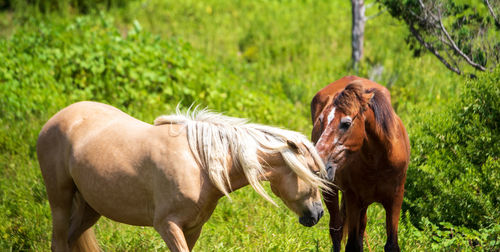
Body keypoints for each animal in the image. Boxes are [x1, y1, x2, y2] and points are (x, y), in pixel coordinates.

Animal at [37, 101, 330, 251]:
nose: (318, 214)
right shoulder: (167, 225)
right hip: (60, 201)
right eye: (314, 173)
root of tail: (56, 118)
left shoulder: (192, 228)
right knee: (59, 242)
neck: (200, 165)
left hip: (90, 208)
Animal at [312, 77, 410, 252]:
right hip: (331, 190)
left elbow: (391, 244)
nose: (317, 162)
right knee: (336, 230)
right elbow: (351, 244)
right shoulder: (353, 199)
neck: (379, 163)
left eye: (346, 123)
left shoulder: (395, 199)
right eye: (321, 120)